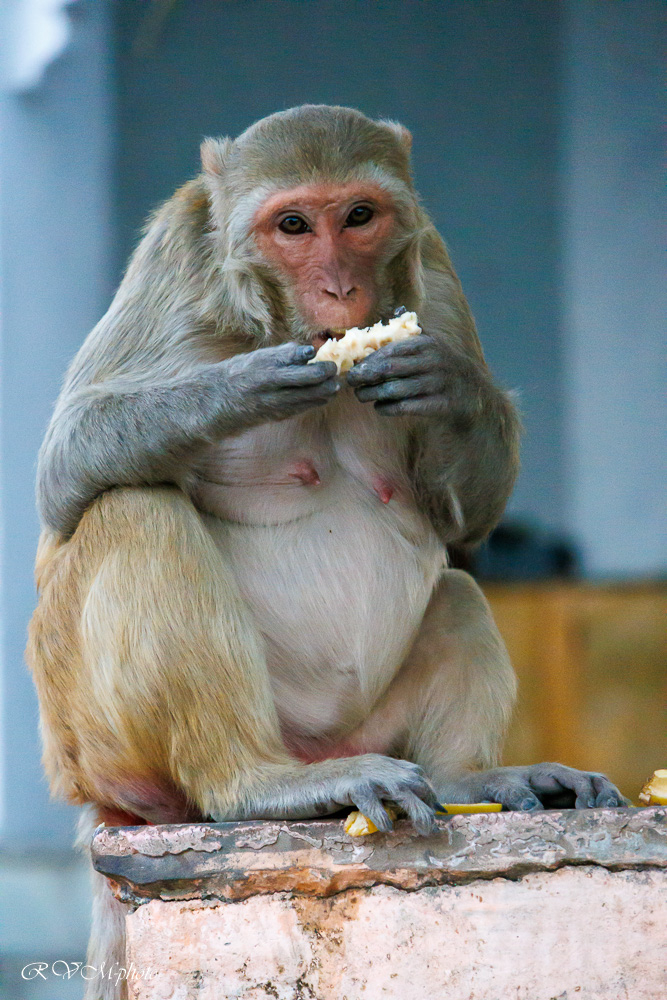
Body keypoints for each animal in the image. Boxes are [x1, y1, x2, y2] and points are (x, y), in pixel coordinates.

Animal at [27, 106, 625, 993]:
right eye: (293, 226)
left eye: (359, 216)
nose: (342, 288)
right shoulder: (175, 255)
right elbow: (67, 465)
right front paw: (239, 388)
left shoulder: (429, 263)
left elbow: (468, 521)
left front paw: (446, 386)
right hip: (96, 740)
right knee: (134, 510)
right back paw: (255, 783)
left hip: (370, 727)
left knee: (457, 589)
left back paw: (462, 778)